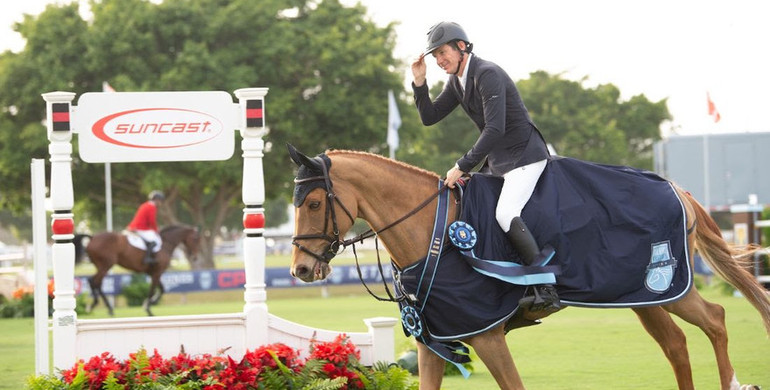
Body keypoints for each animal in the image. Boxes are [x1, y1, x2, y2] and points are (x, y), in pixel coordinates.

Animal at [288, 145, 768, 390]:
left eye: (312, 204)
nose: (300, 271)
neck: (433, 230)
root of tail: (675, 187)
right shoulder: (433, 341)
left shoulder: (487, 336)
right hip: (638, 296)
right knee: (677, 344)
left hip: (666, 286)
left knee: (715, 320)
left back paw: (732, 382)